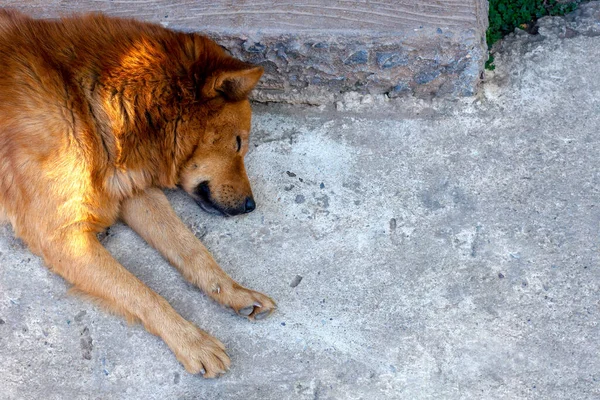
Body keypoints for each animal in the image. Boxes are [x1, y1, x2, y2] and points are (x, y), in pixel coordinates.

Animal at [0, 10, 276, 378]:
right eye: (238, 143)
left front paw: (233, 291)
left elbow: (192, 250)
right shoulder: (60, 237)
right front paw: (191, 341)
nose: (251, 206)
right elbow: (141, 292)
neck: (84, 102)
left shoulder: (131, 189)